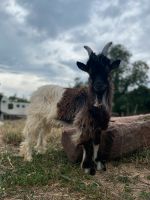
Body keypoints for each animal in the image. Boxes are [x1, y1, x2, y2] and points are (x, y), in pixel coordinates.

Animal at [19, 42, 120, 175]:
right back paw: (28, 157)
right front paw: (87, 167)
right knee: (30, 133)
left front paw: (97, 165)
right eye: (89, 71)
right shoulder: (84, 124)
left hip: (45, 120)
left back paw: (41, 151)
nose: (99, 85)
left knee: (41, 132)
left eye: (108, 69)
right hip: (35, 116)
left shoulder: (98, 127)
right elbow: (86, 144)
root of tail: (36, 91)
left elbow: (96, 145)